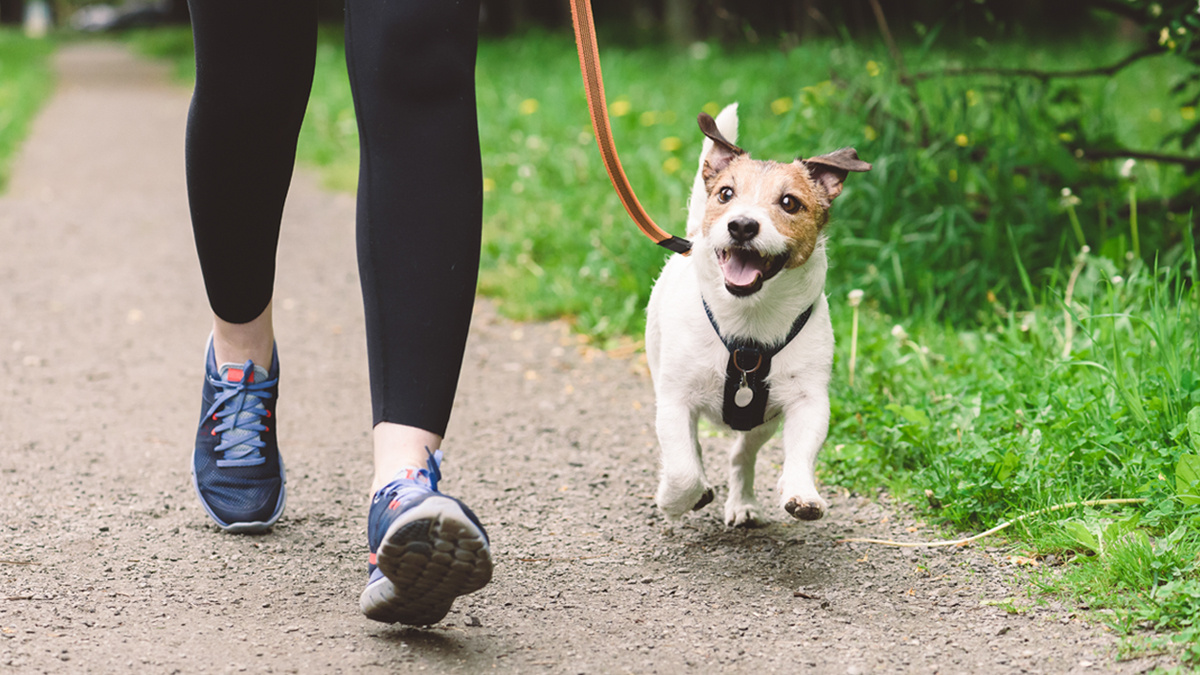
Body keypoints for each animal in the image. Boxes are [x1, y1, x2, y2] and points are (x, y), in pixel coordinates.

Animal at [648, 103, 873, 526]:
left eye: (789, 203)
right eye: (726, 194)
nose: (741, 225)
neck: (748, 325)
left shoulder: (807, 400)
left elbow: (801, 451)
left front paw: (802, 493)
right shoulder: (674, 400)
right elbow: (683, 468)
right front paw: (674, 500)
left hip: (760, 422)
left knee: (742, 454)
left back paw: (743, 503)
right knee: (692, 451)